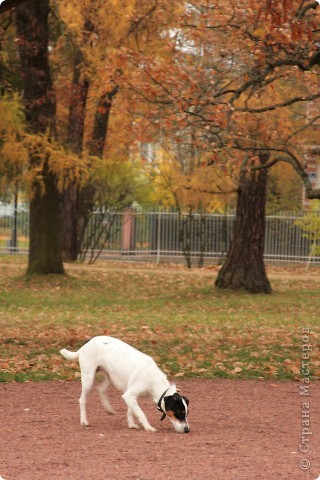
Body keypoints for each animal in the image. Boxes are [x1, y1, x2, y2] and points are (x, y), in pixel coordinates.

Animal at [60, 336, 189, 434]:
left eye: (186, 413)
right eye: (180, 413)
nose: (187, 430)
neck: (153, 381)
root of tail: (87, 342)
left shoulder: (130, 396)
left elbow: (131, 410)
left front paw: (131, 424)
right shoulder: (130, 395)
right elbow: (141, 414)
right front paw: (148, 427)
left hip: (110, 376)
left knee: (101, 389)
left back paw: (108, 409)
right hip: (88, 377)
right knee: (82, 399)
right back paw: (84, 421)